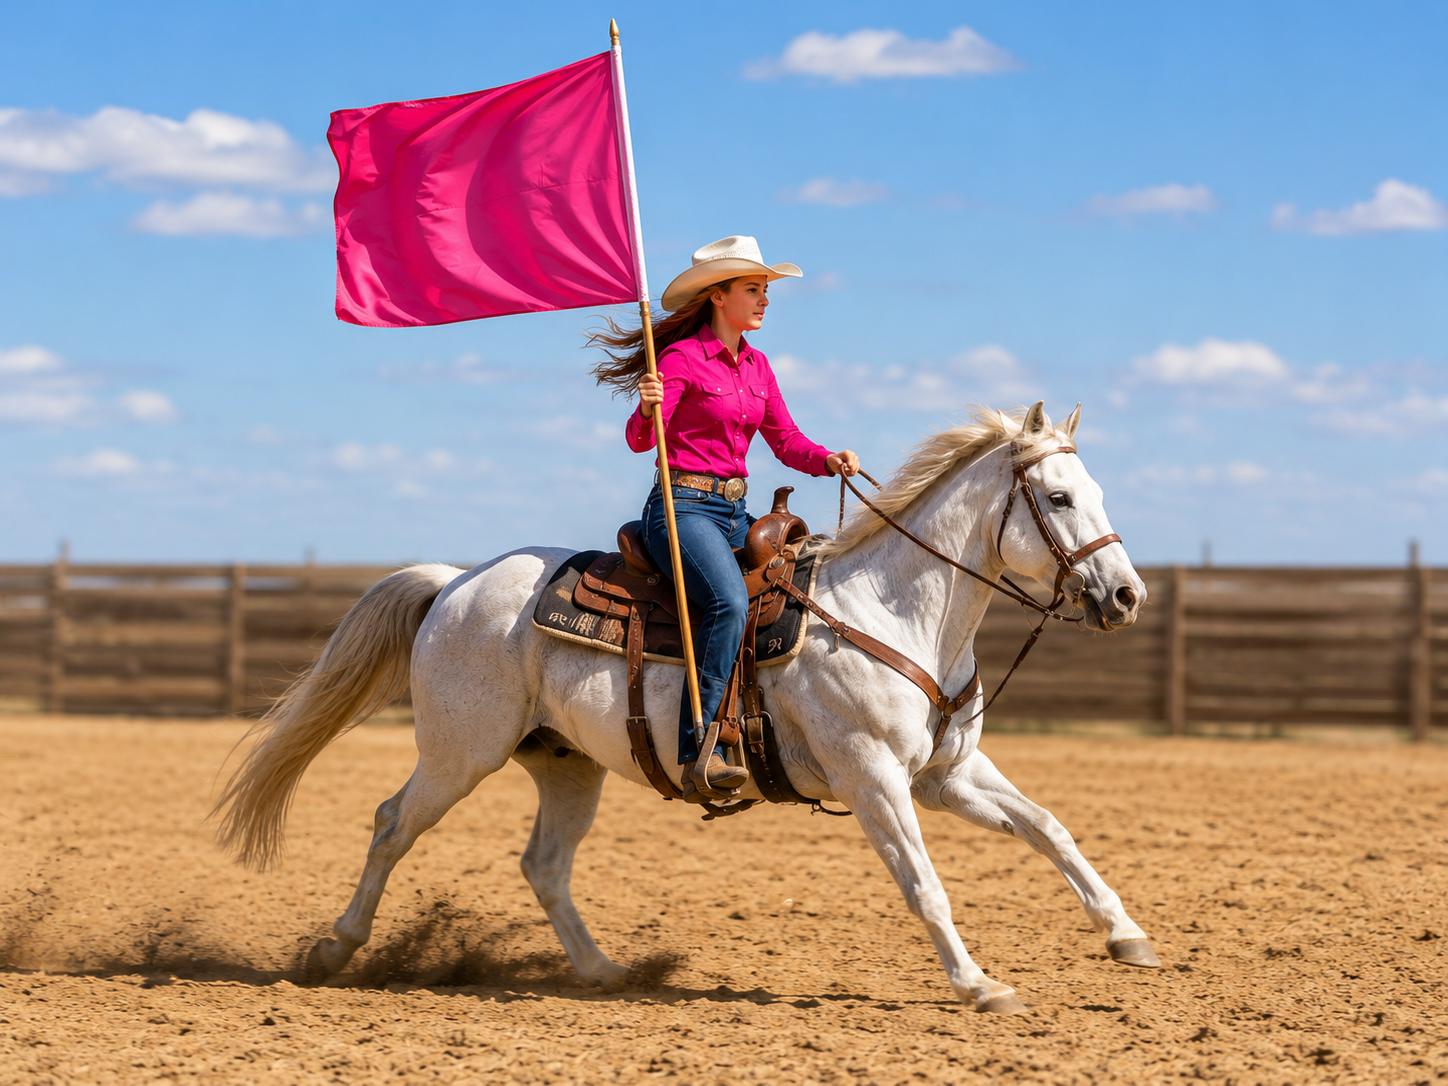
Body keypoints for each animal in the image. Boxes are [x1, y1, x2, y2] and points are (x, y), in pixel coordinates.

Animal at [213, 401, 1160, 1013]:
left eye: (1097, 492)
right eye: (1060, 498)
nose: (1125, 596)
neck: (891, 611)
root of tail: (458, 582)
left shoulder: (947, 775)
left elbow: (1050, 829)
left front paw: (1126, 935)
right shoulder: (874, 778)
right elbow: (924, 883)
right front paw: (977, 983)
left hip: (565, 765)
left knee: (543, 865)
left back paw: (602, 972)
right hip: (458, 754)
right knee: (390, 824)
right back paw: (335, 947)